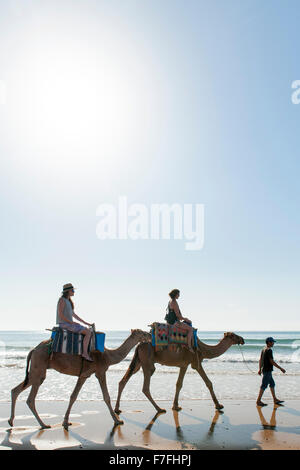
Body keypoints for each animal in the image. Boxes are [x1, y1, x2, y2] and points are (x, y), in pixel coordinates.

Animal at [8, 328, 151, 432]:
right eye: (141, 333)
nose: (149, 334)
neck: (108, 356)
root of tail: (33, 349)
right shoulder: (100, 372)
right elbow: (106, 397)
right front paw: (117, 420)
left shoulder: (84, 375)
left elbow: (73, 396)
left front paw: (66, 422)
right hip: (39, 367)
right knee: (30, 398)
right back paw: (43, 424)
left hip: (36, 370)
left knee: (15, 390)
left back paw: (11, 421)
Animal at [114, 330, 244, 414]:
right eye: (233, 335)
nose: (242, 339)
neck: (203, 349)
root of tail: (139, 345)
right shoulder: (195, 363)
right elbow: (208, 383)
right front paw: (219, 405)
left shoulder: (183, 365)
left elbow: (178, 384)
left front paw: (176, 406)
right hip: (147, 363)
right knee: (145, 387)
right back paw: (159, 409)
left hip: (138, 362)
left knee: (123, 380)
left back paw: (117, 409)